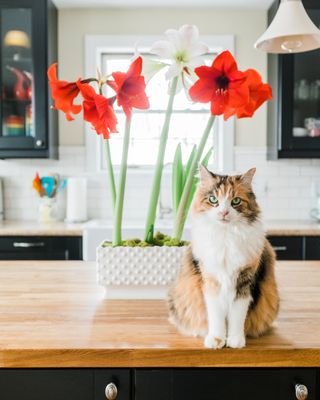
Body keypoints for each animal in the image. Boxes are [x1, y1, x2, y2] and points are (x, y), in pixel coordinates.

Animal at [169, 165, 278, 346]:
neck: (226, 236)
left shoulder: (244, 281)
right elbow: (216, 316)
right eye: (213, 199)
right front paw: (216, 339)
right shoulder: (211, 280)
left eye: (236, 201)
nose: (224, 213)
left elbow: (237, 316)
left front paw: (235, 340)